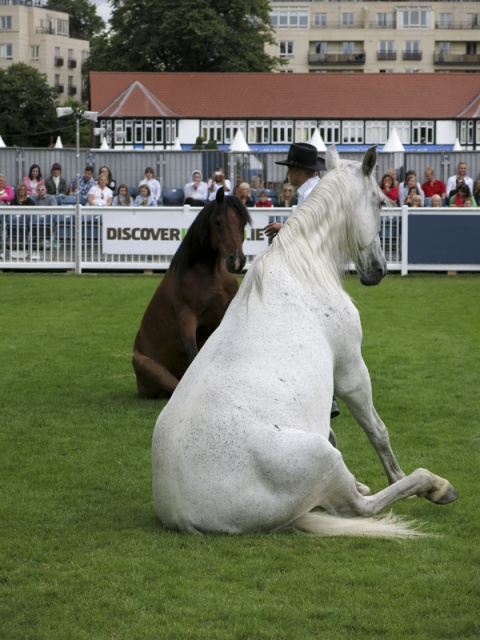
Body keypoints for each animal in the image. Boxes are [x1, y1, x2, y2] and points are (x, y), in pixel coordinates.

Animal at [133, 188, 252, 399]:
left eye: (242, 223)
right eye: (218, 222)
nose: (236, 261)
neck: (210, 274)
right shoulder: (187, 319)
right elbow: (194, 355)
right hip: (154, 371)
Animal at [152, 146, 458, 538]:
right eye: (380, 202)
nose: (379, 270)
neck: (301, 270)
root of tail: (184, 516)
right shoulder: (350, 371)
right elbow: (378, 431)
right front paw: (398, 474)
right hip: (322, 458)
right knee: (359, 508)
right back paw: (432, 485)